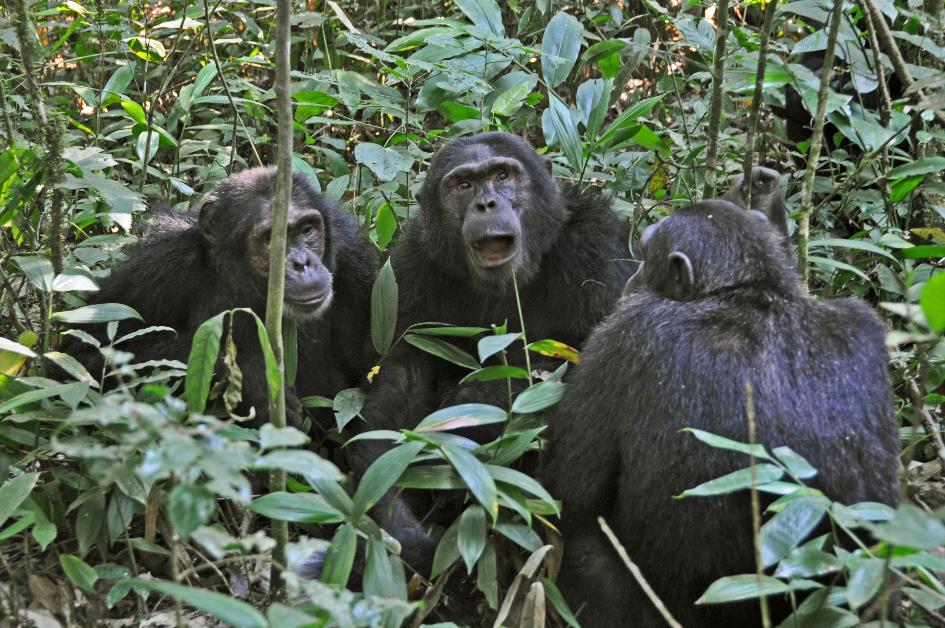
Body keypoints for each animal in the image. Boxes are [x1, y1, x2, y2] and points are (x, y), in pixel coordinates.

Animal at [57, 166, 376, 426]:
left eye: (307, 229)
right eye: (271, 239)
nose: (301, 263)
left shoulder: (354, 260)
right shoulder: (158, 262)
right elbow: (86, 352)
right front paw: (255, 378)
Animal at [346, 132, 636, 576]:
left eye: (502, 176)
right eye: (463, 185)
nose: (486, 203)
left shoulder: (598, 247)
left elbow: (595, 370)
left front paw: (459, 417)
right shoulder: (411, 265)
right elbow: (401, 369)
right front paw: (393, 511)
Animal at [540, 199, 900, 624]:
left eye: (645, 254)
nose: (632, 280)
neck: (747, 293)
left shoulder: (624, 334)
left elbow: (569, 487)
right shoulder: (862, 325)